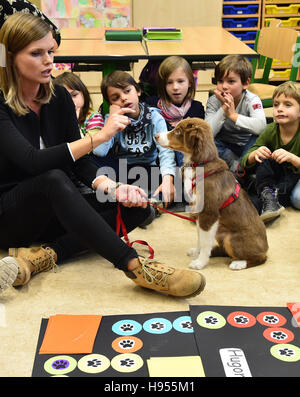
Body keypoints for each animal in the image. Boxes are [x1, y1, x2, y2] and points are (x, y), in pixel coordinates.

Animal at [156, 117, 268, 270]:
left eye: (178, 131)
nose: (156, 136)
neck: (199, 164)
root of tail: (266, 248)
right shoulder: (199, 213)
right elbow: (200, 238)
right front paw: (196, 253)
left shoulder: (209, 213)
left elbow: (204, 242)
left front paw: (200, 263)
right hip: (221, 232)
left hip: (230, 238)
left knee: (260, 258)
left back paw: (239, 263)